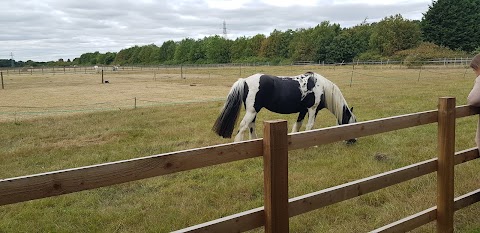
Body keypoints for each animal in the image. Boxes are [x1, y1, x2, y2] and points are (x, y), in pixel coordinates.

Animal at [213, 71, 356, 143]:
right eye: (352, 123)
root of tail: (245, 81)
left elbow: (297, 125)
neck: (321, 87)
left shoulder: (303, 110)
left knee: (251, 126)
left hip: (253, 111)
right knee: (243, 126)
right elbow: (309, 126)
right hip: (252, 111)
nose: (353, 141)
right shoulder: (312, 109)